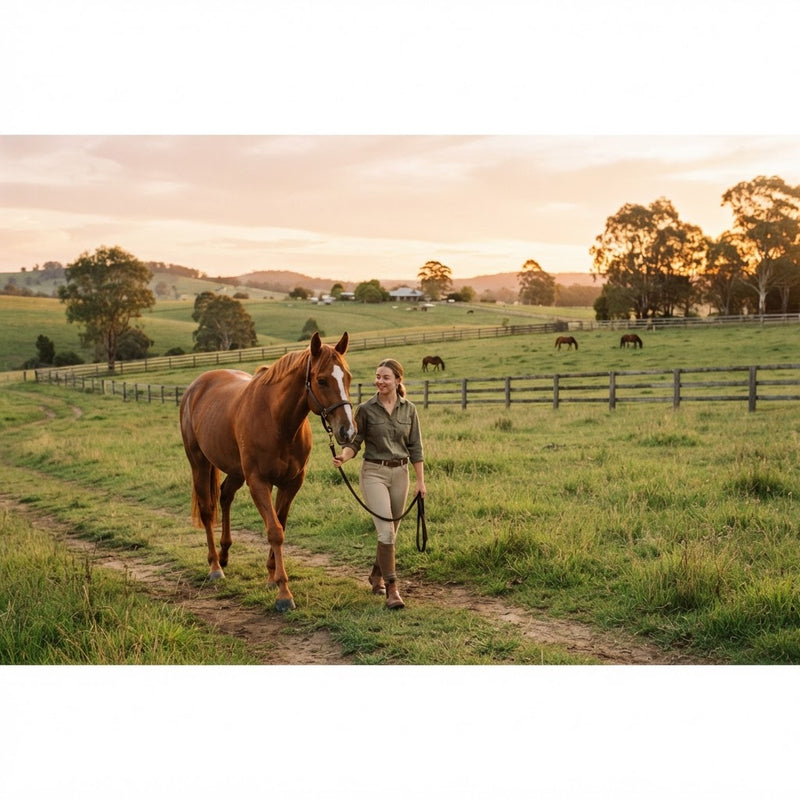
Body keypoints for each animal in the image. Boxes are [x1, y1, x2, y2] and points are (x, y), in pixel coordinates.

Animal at [179, 331, 355, 612]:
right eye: (322, 380)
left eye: (347, 377)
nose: (347, 431)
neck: (277, 421)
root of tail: (196, 387)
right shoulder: (258, 482)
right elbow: (275, 531)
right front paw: (284, 593)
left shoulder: (291, 483)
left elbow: (280, 523)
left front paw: (272, 575)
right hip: (199, 462)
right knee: (207, 510)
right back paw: (215, 566)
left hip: (236, 471)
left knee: (225, 496)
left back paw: (225, 554)